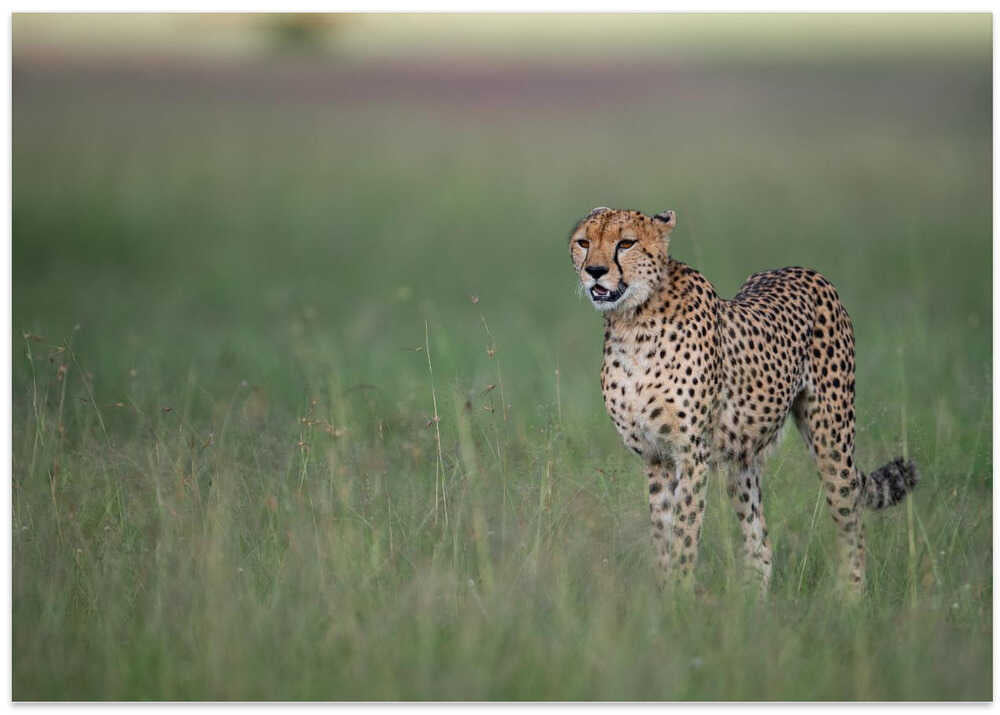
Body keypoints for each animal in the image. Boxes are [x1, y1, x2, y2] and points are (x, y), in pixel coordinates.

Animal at [568, 206, 918, 596]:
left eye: (626, 243)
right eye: (583, 242)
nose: (595, 271)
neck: (632, 322)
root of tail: (800, 269)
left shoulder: (691, 453)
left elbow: (685, 533)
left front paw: (679, 597)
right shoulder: (656, 456)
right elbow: (663, 532)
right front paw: (664, 594)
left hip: (831, 440)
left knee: (850, 520)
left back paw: (852, 598)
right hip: (742, 461)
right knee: (761, 543)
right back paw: (754, 603)